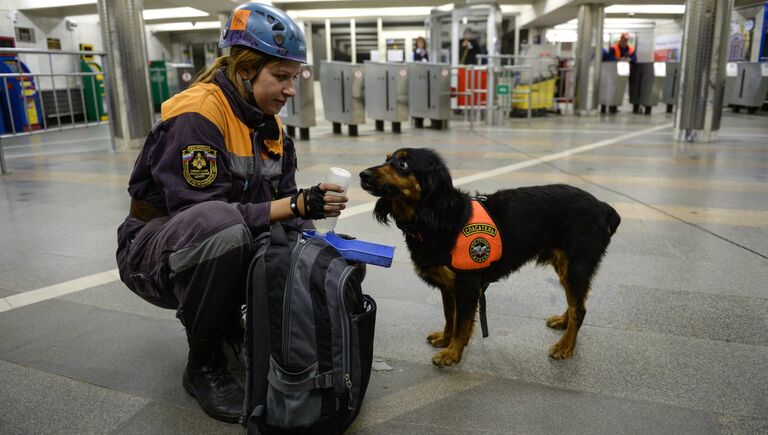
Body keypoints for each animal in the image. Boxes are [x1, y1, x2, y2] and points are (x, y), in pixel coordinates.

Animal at [358, 149, 616, 368]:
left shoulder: (467, 285)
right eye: (386, 158)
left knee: (579, 309)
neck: (438, 217)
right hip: (568, 266)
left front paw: (452, 353)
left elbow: (462, 323)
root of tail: (603, 207)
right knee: (576, 303)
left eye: (403, 164)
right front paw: (445, 339)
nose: (363, 174)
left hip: (575, 264)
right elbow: (450, 316)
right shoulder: (448, 285)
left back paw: (565, 346)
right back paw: (563, 322)